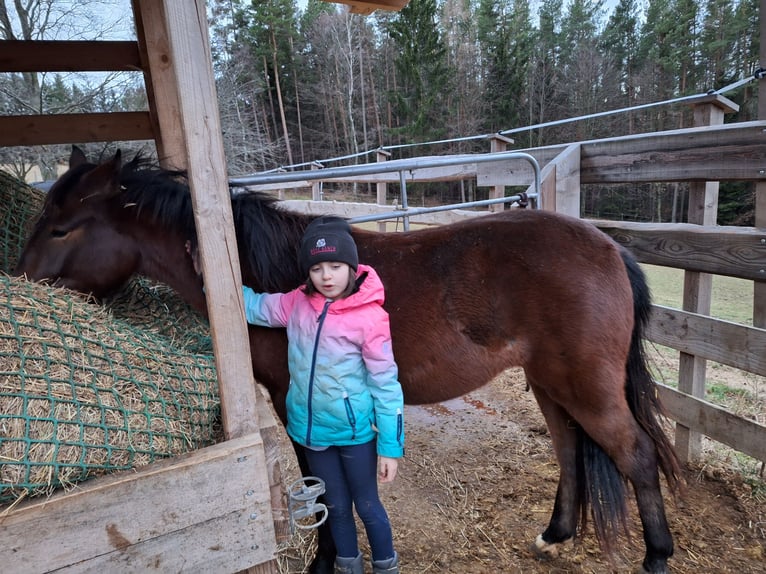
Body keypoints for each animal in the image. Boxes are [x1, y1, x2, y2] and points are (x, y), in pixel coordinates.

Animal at [15, 150, 680, 574]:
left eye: (62, 229)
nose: (20, 281)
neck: (265, 271)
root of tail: (609, 247)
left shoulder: (294, 402)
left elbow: (322, 484)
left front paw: (326, 559)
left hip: (587, 386)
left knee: (636, 455)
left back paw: (656, 557)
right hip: (550, 382)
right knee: (569, 449)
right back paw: (554, 536)